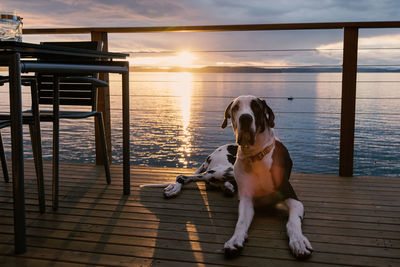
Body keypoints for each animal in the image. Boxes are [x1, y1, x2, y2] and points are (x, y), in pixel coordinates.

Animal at [142, 96, 314, 260]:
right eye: (235, 107)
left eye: (256, 106)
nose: (245, 118)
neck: (256, 157)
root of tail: (213, 152)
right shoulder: (246, 201)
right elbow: (241, 222)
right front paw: (235, 240)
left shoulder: (293, 198)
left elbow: (293, 221)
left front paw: (298, 241)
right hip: (224, 169)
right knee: (185, 176)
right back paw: (175, 188)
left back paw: (227, 187)